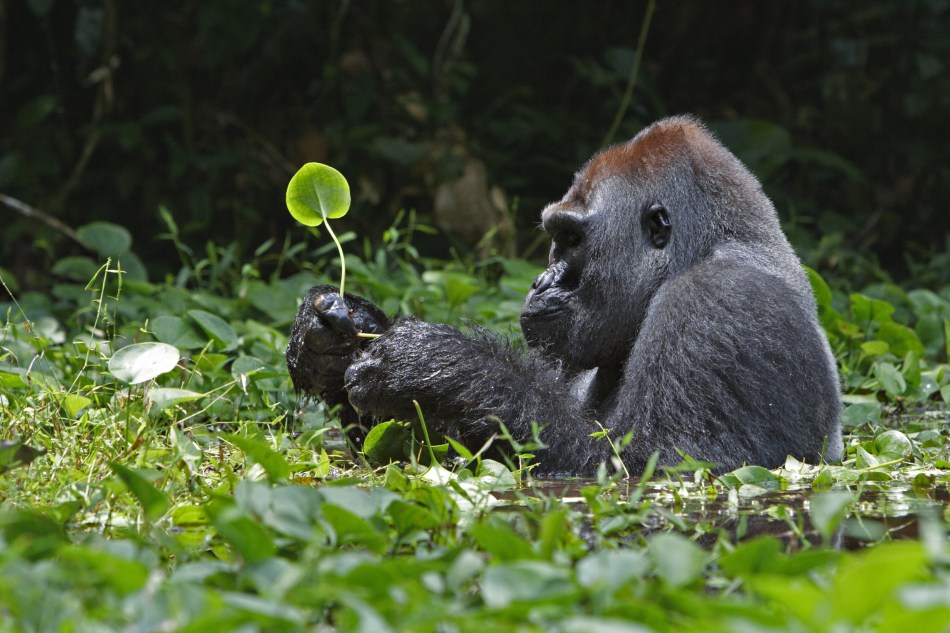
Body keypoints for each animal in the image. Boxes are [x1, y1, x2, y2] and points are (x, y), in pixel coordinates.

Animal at [286, 115, 843, 476]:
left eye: (572, 240)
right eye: (557, 236)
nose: (540, 281)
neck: (701, 249)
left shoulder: (720, 304)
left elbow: (653, 465)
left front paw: (436, 364)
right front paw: (331, 338)